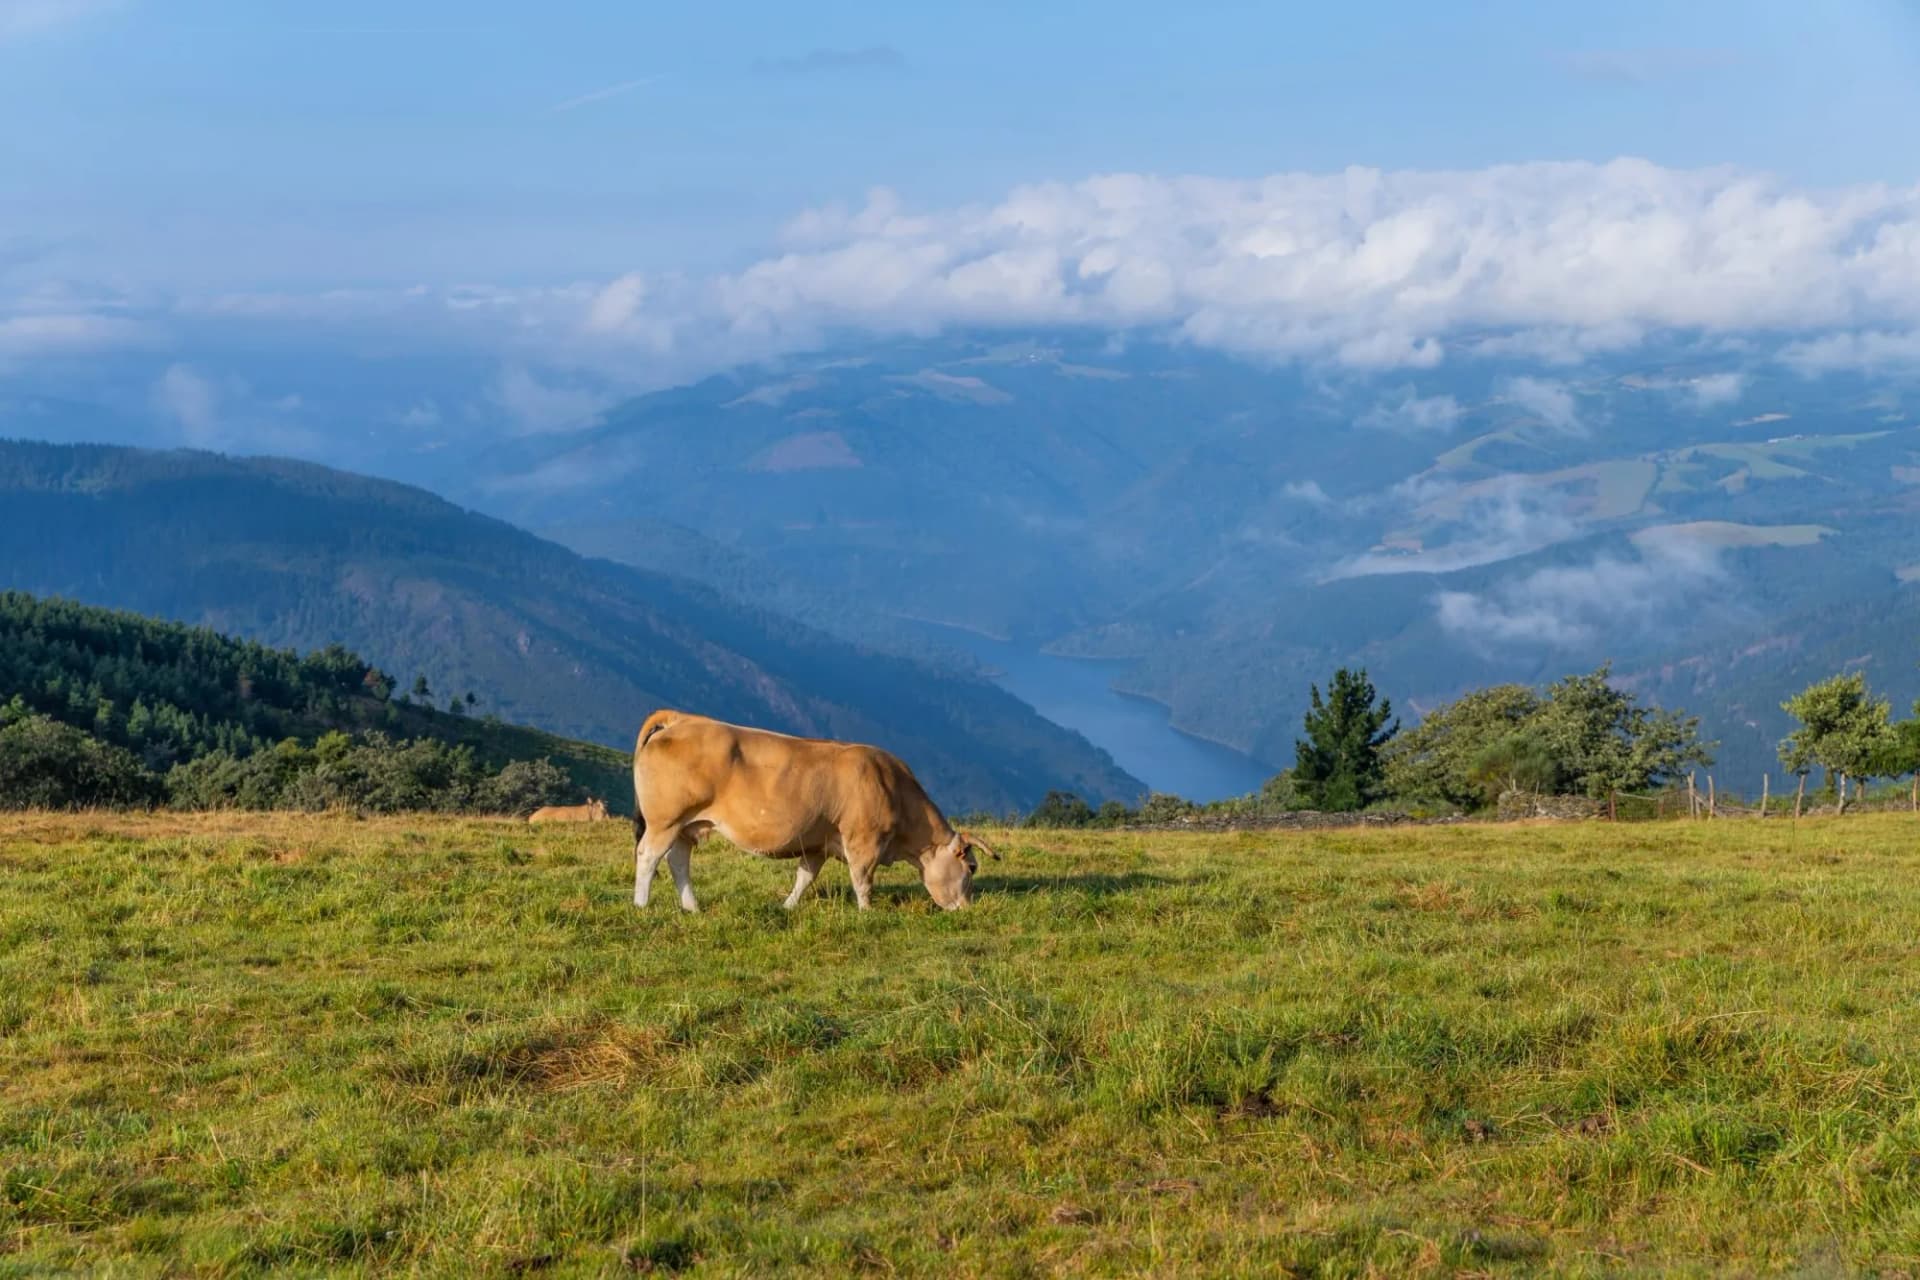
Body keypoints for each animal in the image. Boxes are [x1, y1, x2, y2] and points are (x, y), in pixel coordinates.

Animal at [629, 709, 998, 912]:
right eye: (972, 867)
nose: (967, 909)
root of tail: (682, 719)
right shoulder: (864, 840)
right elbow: (863, 879)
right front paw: (867, 911)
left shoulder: (818, 842)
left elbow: (804, 878)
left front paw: (788, 906)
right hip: (665, 820)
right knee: (648, 856)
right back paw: (641, 905)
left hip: (685, 826)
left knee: (678, 861)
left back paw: (692, 907)